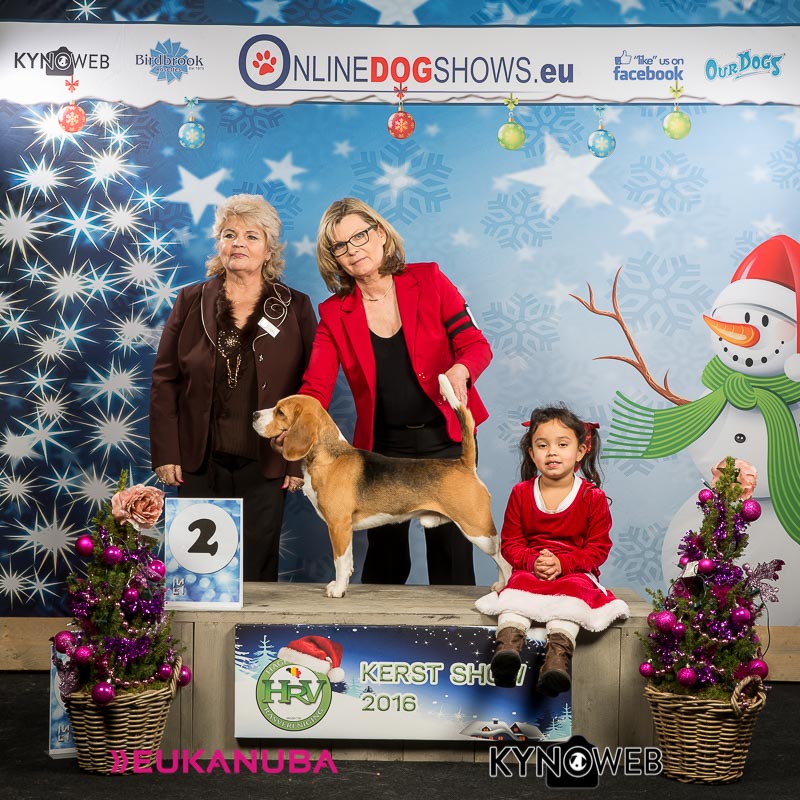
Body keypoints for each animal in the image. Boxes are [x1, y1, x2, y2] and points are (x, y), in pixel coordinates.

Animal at [253, 375, 511, 598]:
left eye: (280, 412)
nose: (254, 414)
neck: (329, 455)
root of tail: (463, 463)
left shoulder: (338, 525)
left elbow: (340, 560)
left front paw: (338, 590)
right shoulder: (342, 528)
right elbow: (348, 562)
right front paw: (340, 585)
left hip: (477, 528)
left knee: (504, 559)